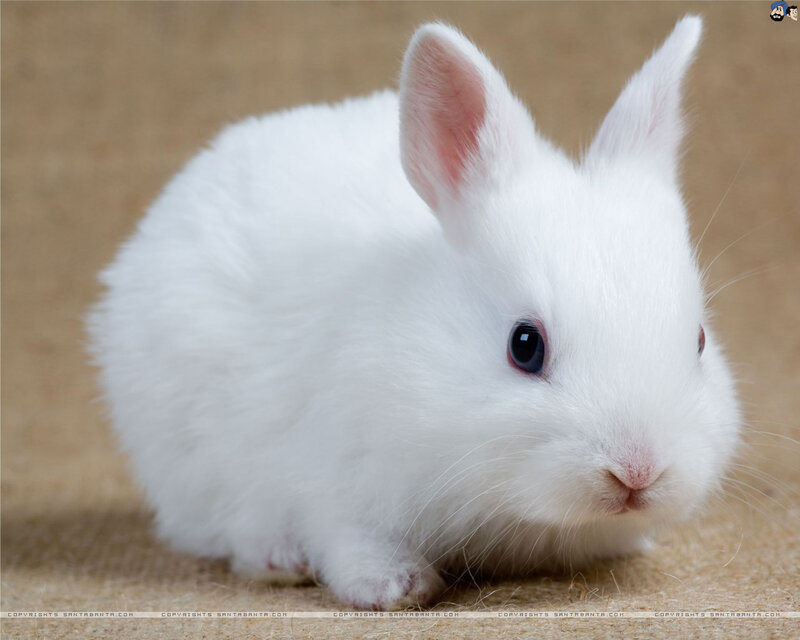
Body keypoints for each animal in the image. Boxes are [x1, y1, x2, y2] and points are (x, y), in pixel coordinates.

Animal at [88, 15, 740, 610]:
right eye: (524, 345)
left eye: (699, 341)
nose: (638, 472)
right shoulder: (336, 481)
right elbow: (348, 538)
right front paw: (393, 587)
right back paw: (279, 559)